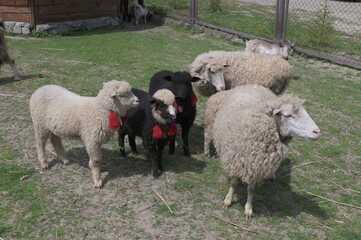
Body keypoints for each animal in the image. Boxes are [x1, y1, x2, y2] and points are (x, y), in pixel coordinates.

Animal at [210, 84, 320, 219]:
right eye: (288, 115)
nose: (317, 132)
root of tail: (254, 85)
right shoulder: (235, 161)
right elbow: (234, 183)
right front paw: (228, 200)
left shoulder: (257, 166)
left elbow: (251, 189)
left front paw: (248, 209)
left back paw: (271, 175)